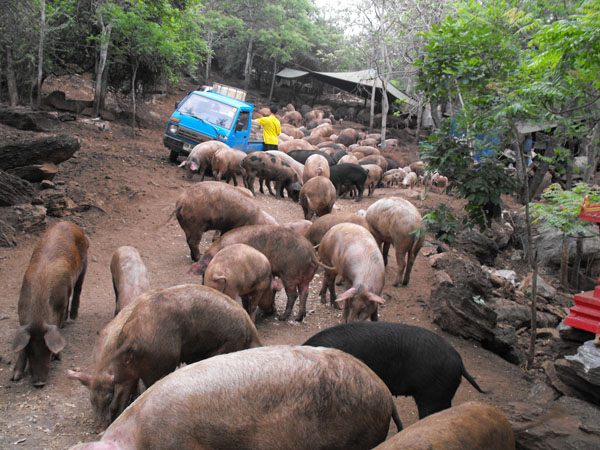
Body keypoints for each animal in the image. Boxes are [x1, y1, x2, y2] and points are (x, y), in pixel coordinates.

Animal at [11, 221, 89, 386]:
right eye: (30, 350)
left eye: (47, 348)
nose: (39, 383)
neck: (38, 316)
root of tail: (71, 223)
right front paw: (15, 377)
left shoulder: (60, 305)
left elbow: (58, 323)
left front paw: (57, 357)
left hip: (84, 264)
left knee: (78, 290)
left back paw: (73, 318)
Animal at [99, 284, 262, 426]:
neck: (249, 339)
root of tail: (131, 337)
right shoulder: (229, 344)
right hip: (159, 362)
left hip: (124, 370)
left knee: (117, 402)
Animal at [190, 224, 328, 320]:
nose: (204, 284)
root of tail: (311, 253)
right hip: (305, 278)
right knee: (304, 293)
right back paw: (300, 317)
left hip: (290, 275)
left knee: (293, 295)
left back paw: (282, 318)